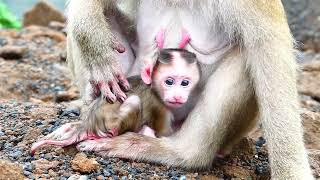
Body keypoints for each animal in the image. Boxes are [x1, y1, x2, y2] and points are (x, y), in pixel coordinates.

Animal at [30, 48, 200, 155]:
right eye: (169, 81)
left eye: (185, 83)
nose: (178, 96)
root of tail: (89, 125)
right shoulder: (158, 105)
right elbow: (163, 132)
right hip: (111, 124)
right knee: (134, 102)